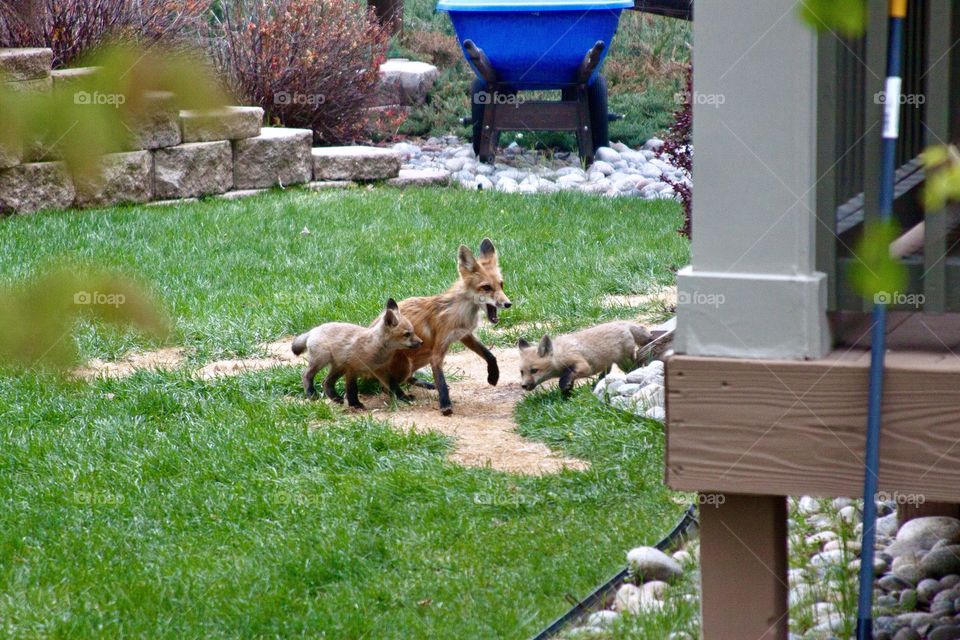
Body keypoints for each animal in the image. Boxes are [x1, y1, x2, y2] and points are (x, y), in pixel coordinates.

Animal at [291, 298, 423, 409]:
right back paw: (311, 393)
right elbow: (352, 389)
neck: (374, 349)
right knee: (306, 375)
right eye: (407, 334)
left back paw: (336, 399)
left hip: (338, 367)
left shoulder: (381, 369)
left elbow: (394, 386)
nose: (421, 342)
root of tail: (314, 329)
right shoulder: (352, 370)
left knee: (326, 382)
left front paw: (404, 397)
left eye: (413, 332)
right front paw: (355, 404)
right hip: (321, 361)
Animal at [383, 238, 511, 416]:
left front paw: (493, 376)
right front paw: (445, 404)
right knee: (387, 385)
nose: (508, 304)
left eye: (501, 285)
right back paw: (402, 396)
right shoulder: (437, 351)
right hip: (407, 361)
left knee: (405, 379)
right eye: (486, 287)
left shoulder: (464, 334)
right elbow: (441, 380)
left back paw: (424, 384)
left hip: (420, 357)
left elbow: (489, 354)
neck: (460, 312)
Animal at [518, 321, 653, 396]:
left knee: (634, 366)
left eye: (534, 370)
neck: (560, 354)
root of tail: (624, 323)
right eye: (522, 372)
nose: (523, 386)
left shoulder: (583, 365)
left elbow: (566, 376)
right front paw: (567, 396)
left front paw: (564, 387)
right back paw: (599, 380)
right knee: (607, 369)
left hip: (624, 362)